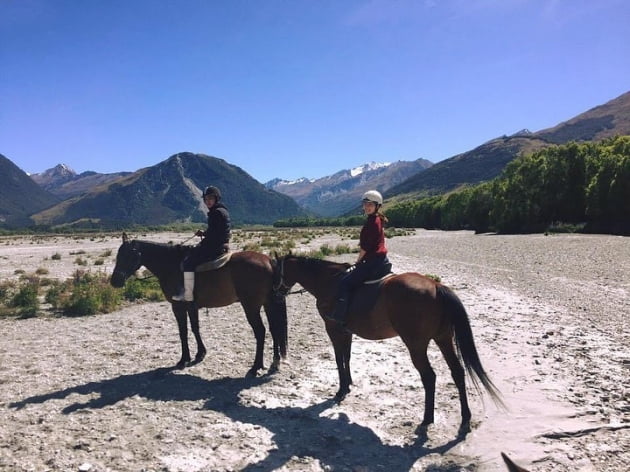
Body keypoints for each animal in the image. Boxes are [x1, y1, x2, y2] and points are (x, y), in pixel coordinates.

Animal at [110, 233, 288, 376]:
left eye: (128, 255)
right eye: (118, 254)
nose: (114, 281)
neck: (171, 265)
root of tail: (268, 260)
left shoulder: (178, 307)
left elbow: (183, 332)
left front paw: (184, 359)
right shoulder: (191, 306)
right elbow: (195, 328)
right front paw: (200, 354)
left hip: (251, 307)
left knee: (261, 332)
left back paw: (255, 367)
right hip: (268, 304)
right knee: (274, 329)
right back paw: (275, 362)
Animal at [276, 254, 504, 432]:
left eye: (278, 272)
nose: (277, 292)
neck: (328, 282)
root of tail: (436, 286)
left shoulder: (333, 329)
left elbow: (339, 358)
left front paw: (340, 390)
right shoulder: (345, 331)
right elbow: (347, 357)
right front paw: (348, 384)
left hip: (417, 346)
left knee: (429, 377)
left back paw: (427, 419)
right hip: (443, 339)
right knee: (457, 372)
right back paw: (465, 419)